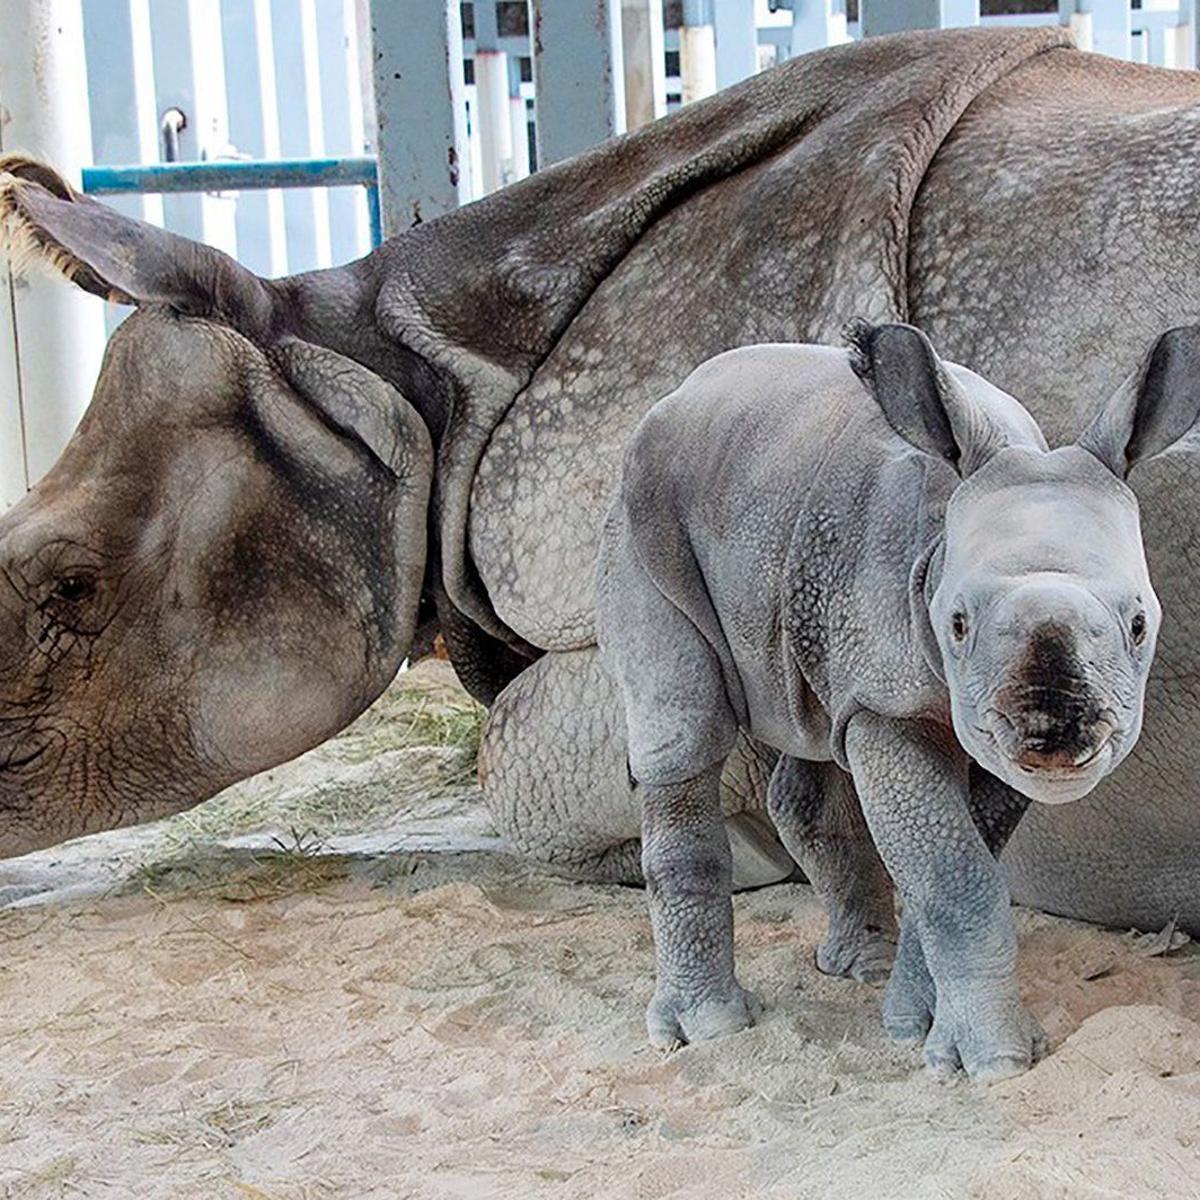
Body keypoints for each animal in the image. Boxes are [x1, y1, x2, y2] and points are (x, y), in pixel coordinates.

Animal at [597, 322, 1194, 1077]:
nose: (1056, 736)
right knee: (684, 734)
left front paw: (914, 1022)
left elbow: (957, 859)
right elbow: (953, 874)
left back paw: (862, 965)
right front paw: (993, 1061)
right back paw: (709, 1028)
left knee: (812, 728)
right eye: (958, 623)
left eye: (1140, 623)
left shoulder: (978, 724)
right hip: (642, 510)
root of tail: (679, 393)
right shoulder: (891, 702)